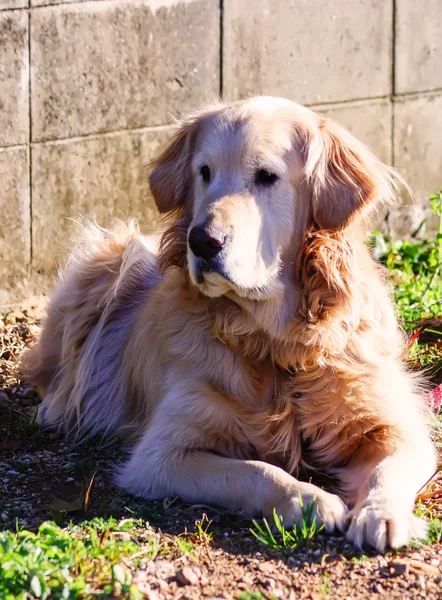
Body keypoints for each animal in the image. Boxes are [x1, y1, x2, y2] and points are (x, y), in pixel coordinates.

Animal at [20, 96, 436, 552]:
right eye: (204, 172)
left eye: (267, 176)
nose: (202, 241)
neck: (277, 343)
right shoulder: (161, 455)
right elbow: (256, 470)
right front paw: (309, 500)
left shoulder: (390, 422)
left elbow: (390, 466)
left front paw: (383, 514)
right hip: (114, 261)